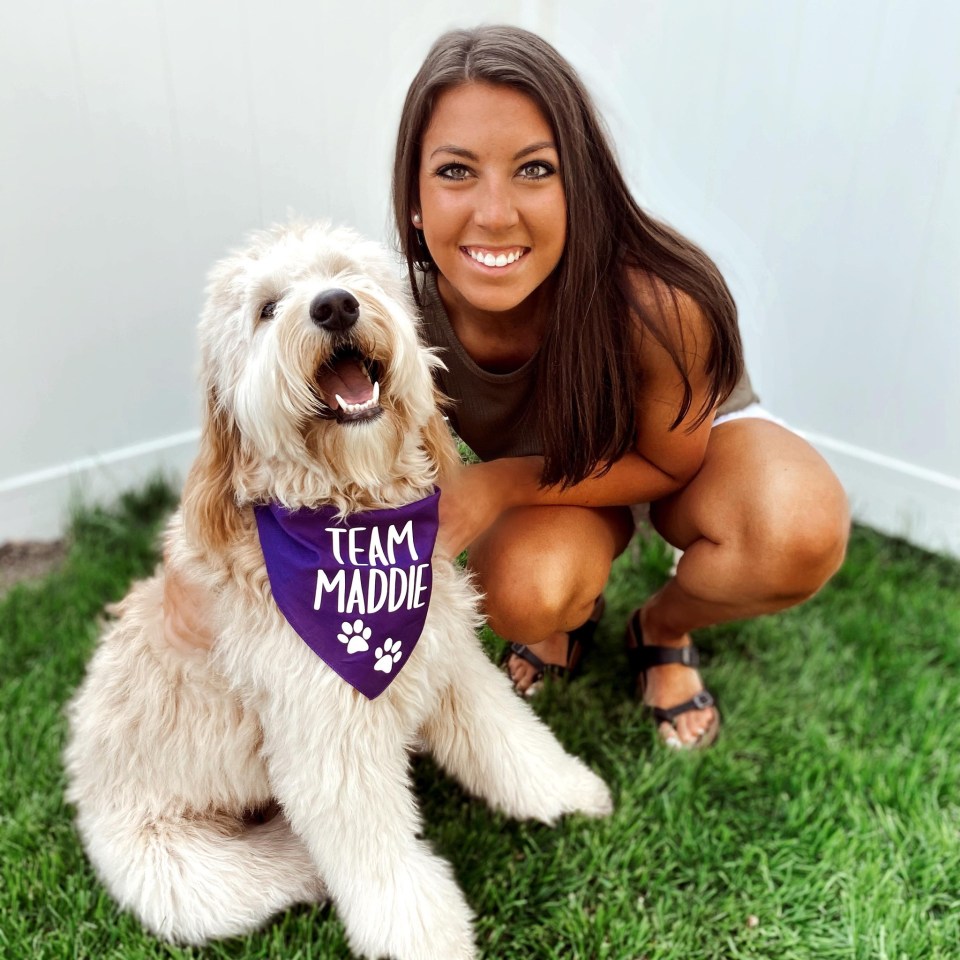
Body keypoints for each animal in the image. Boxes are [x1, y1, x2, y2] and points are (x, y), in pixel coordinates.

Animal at [63, 223, 612, 960]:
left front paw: (569, 791)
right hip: (183, 876)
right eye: (267, 309)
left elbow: (509, 739)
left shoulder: (447, 660)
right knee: (282, 866)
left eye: (348, 275)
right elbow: (380, 863)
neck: (352, 515)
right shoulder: (328, 741)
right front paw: (429, 940)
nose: (334, 306)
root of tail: (82, 790)